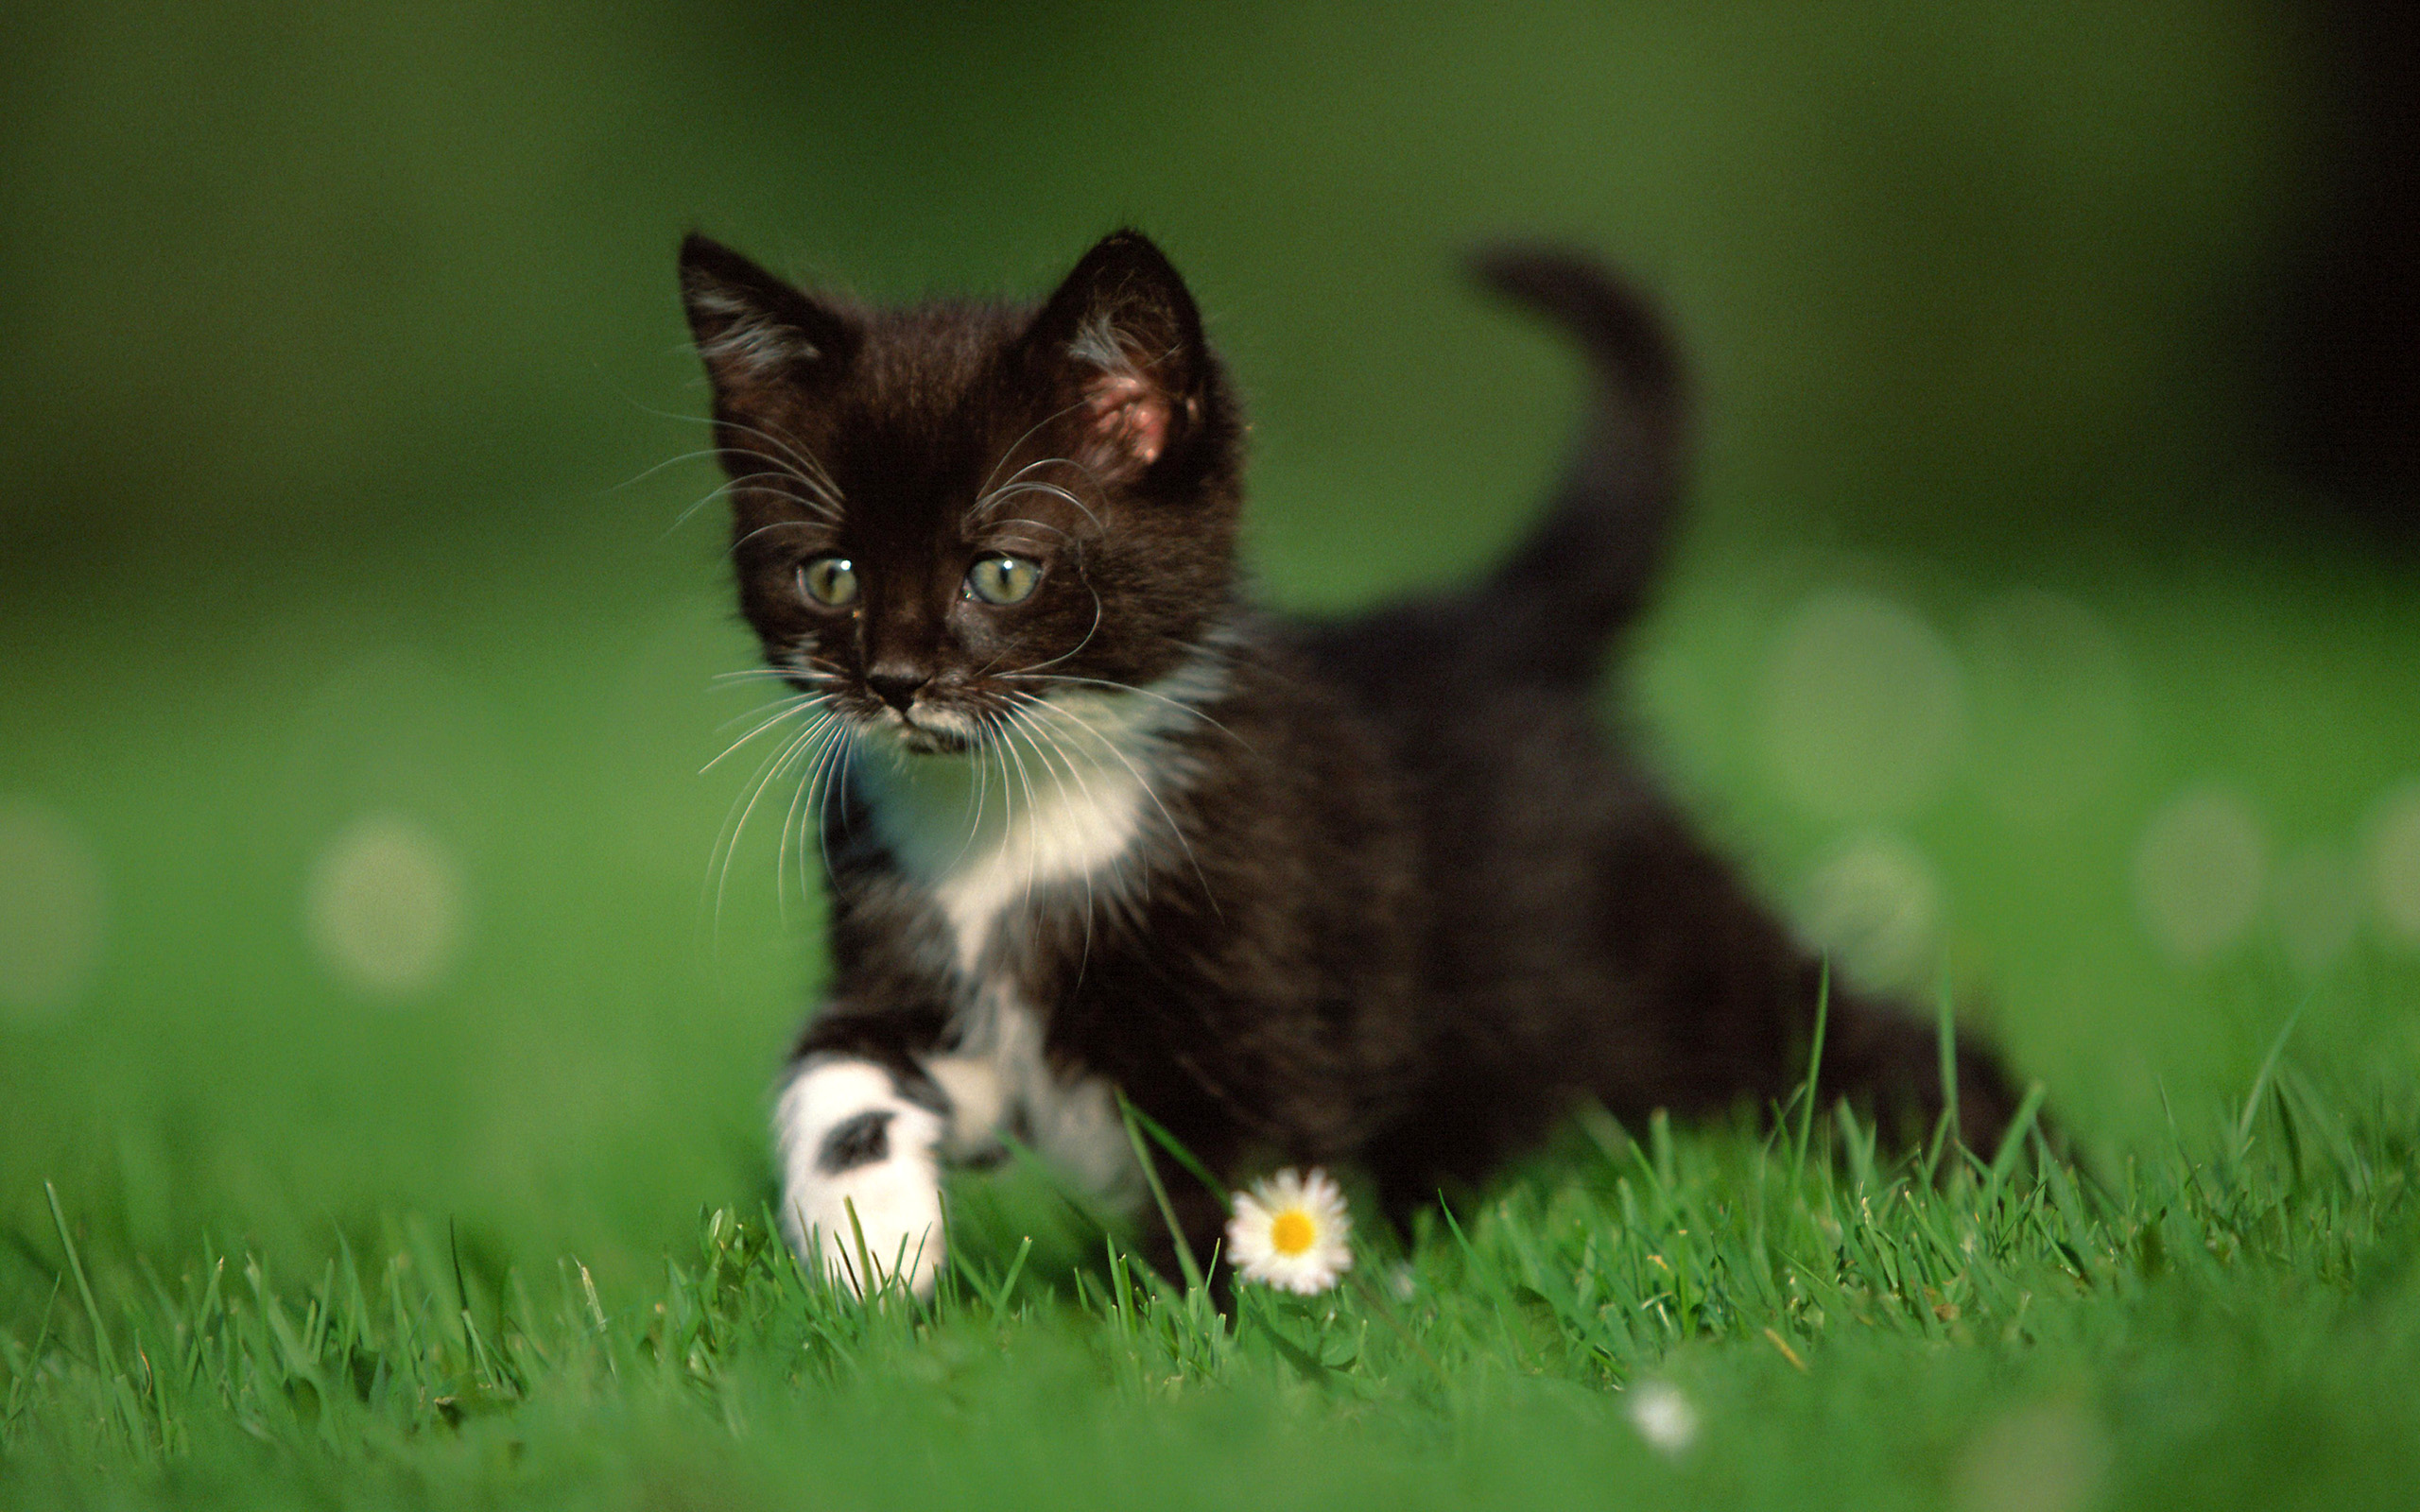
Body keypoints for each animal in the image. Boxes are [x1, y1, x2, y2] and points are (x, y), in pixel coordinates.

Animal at [672, 230, 2013, 1286]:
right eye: (829, 575)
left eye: (1000, 570)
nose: (893, 679)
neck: (1016, 818)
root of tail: (1482, 626)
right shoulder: (915, 961)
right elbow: (833, 1067)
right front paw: (867, 1239)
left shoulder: (1264, 986)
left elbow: (1245, 1192)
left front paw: (1202, 1346)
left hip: (1639, 955)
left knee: (1842, 1024)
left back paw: (2004, 1173)